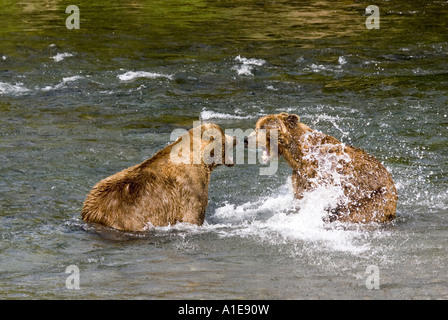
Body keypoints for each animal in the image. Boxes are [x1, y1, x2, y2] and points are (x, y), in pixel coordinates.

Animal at [247, 112, 398, 222]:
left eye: (262, 127)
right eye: (256, 126)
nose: (246, 139)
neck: (300, 155)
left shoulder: (322, 173)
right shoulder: (300, 176)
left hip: (373, 199)